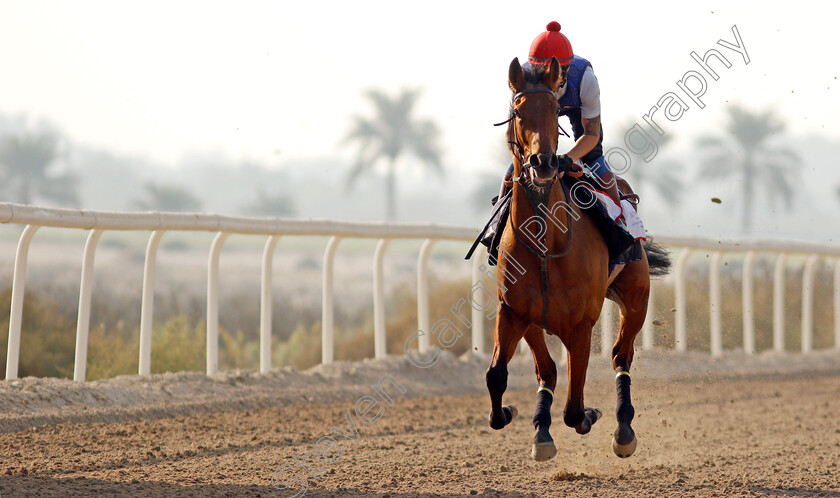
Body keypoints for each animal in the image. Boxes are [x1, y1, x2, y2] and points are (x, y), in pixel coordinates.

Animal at [486, 57, 668, 462]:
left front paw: (590, 414)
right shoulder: (513, 311)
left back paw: (623, 429)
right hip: (534, 323)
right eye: (518, 111)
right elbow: (497, 376)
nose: (543, 162)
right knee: (548, 371)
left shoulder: (581, 325)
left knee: (620, 357)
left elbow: (574, 407)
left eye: (555, 110)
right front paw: (511, 412)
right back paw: (541, 429)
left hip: (636, 298)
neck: (544, 243)